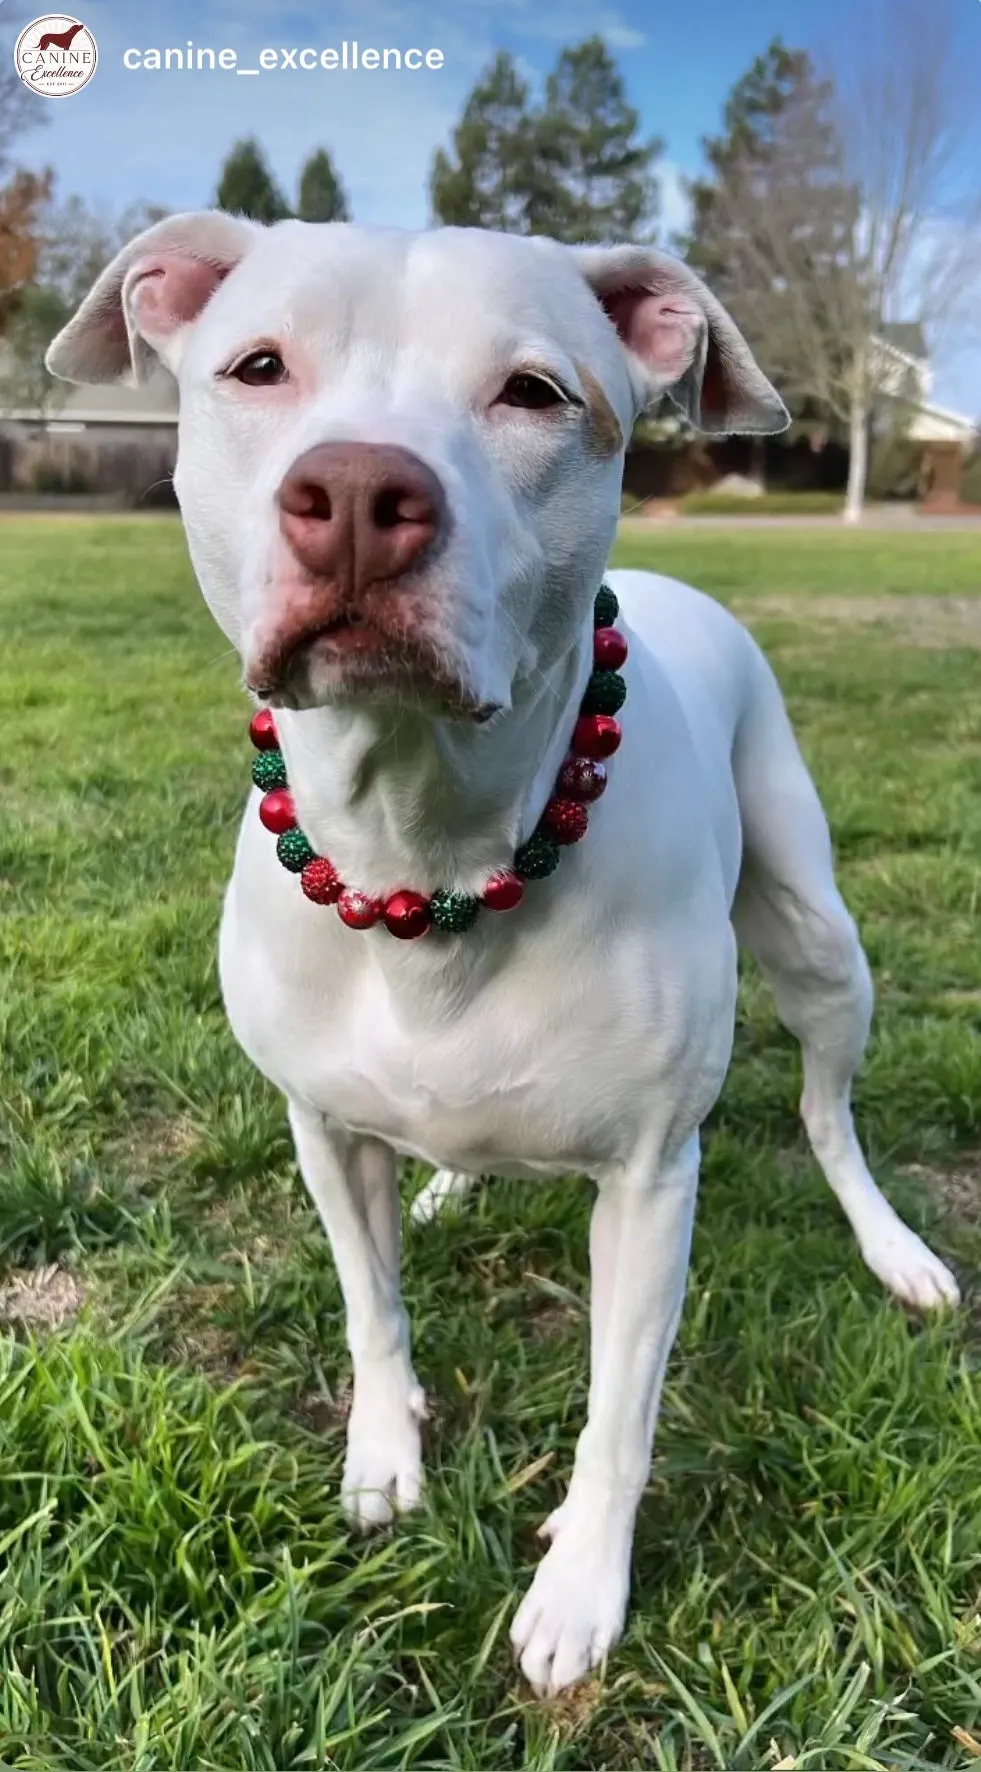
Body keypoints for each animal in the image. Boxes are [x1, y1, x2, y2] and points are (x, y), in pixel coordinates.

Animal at [45, 214, 956, 1694]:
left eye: (533, 392)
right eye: (256, 366)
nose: (359, 490)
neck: (423, 843)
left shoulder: (648, 1185)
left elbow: (619, 1410)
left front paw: (581, 1587)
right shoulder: (319, 1129)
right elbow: (370, 1305)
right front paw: (383, 1453)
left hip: (820, 942)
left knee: (829, 1112)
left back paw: (892, 1246)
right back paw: (450, 1188)